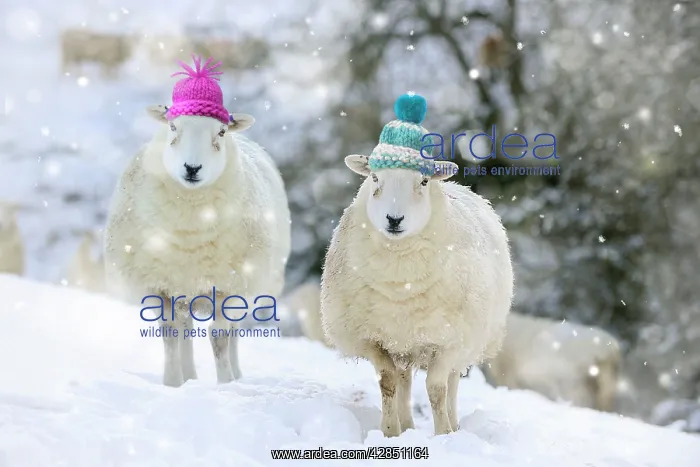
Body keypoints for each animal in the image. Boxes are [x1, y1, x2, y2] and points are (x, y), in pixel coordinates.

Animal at [104, 56, 291, 387]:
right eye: (172, 127)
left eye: (221, 133)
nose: (192, 168)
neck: (191, 222)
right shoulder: (161, 285)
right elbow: (169, 334)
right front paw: (172, 384)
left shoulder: (230, 287)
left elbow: (219, 338)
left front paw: (227, 384)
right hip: (184, 285)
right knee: (185, 329)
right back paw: (188, 377)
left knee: (232, 334)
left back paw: (235, 375)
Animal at [320, 93, 514, 436]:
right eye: (374, 178)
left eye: (423, 181)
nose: (394, 219)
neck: (400, 280)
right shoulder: (373, 337)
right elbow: (387, 382)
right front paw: (390, 433)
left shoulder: (448, 341)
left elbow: (437, 390)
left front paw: (443, 435)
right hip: (404, 339)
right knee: (404, 379)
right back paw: (407, 425)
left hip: (462, 339)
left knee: (452, 384)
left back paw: (454, 427)